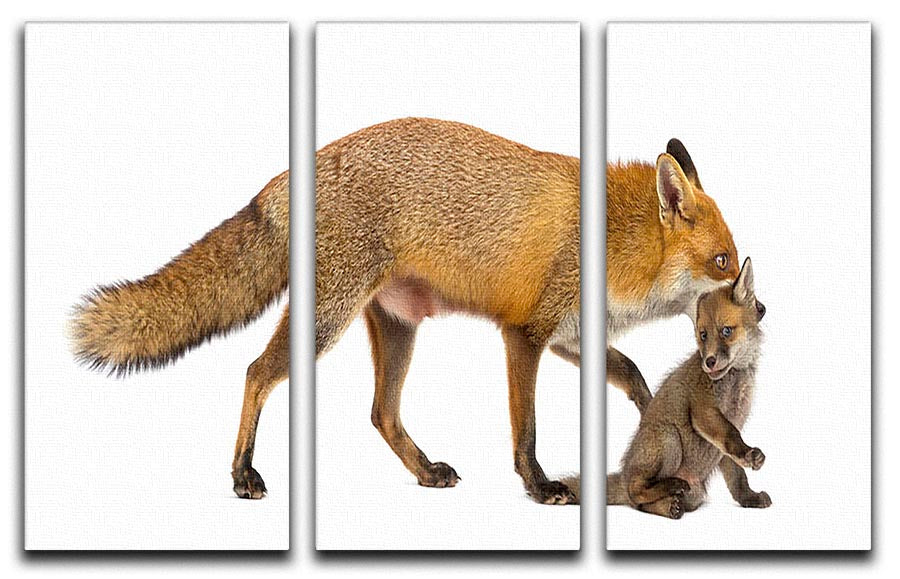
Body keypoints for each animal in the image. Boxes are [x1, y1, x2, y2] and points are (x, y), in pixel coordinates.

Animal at [607, 257, 770, 519]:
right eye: (703, 335)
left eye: (726, 331)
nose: (709, 362)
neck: (735, 381)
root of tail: (623, 475)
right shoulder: (705, 412)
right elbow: (731, 436)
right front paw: (748, 454)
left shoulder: (727, 438)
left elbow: (737, 478)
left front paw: (749, 498)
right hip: (669, 439)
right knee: (635, 493)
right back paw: (671, 486)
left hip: (694, 494)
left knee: (642, 504)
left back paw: (670, 504)